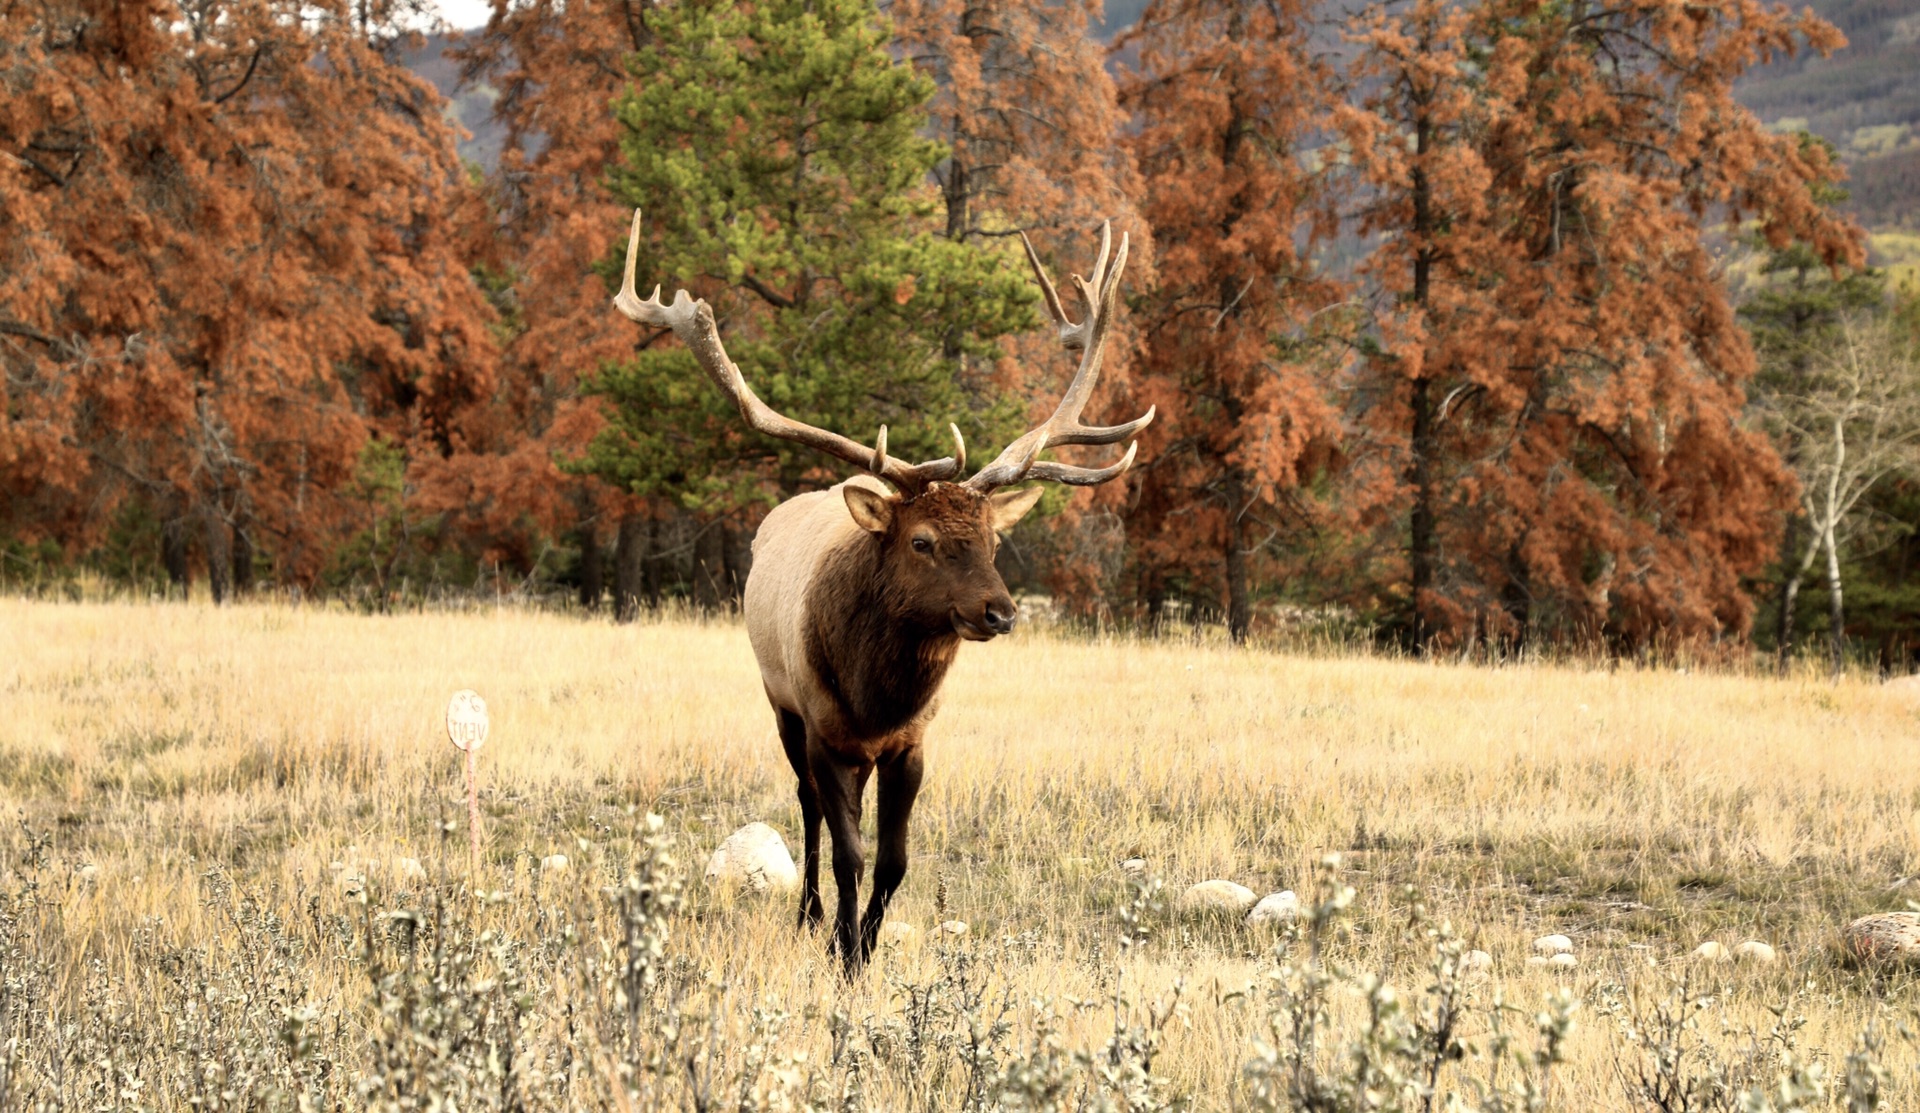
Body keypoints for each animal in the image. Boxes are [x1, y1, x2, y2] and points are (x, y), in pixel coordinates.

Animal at [614, 211, 1152, 974]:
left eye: (994, 540)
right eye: (921, 540)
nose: (1001, 611)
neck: (877, 699)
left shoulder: (912, 741)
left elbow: (893, 860)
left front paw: (866, 946)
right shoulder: (823, 726)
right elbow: (849, 853)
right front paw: (842, 949)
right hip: (780, 701)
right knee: (807, 806)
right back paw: (808, 913)